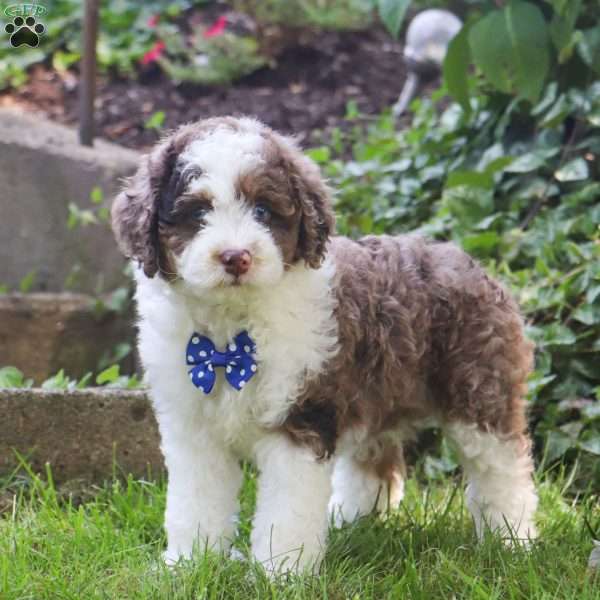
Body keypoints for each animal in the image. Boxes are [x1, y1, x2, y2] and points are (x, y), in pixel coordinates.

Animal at [112, 116, 540, 572]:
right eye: (198, 213)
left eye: (262, 211)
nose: (236, 257)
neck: (229, 336)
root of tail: (474, 264)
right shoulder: (194, 430)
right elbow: (195, 501)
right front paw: (192, 563)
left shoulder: (301, 417)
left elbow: (286, 511)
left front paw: (280, 573)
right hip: (376, 392)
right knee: (375, 461)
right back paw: (349, 520)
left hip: (481, 394)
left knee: (503, 471)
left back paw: (513, 541)